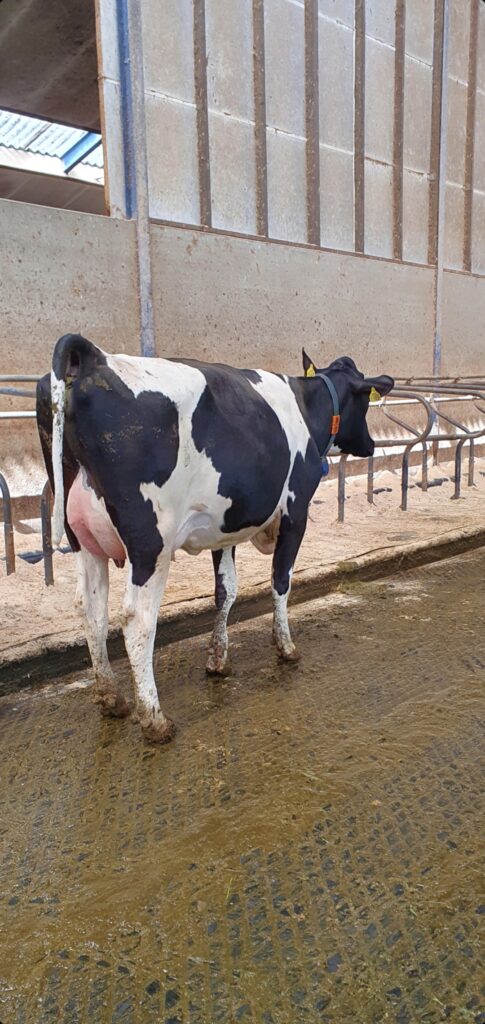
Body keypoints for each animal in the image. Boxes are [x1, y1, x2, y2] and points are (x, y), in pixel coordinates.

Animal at [36, 334, 393, 743]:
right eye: (365, 399)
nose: (371, 445)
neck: (307, 408)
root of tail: (92, 356)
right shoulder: (295, 511)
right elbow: (280, 581)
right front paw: (285, 647)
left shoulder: (225, 528)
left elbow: (227, 590)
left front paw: (218, 660)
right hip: (151, 544)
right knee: (137, 619)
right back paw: (154, 719)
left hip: (83, 538)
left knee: (91, 609)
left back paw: (113, 699)